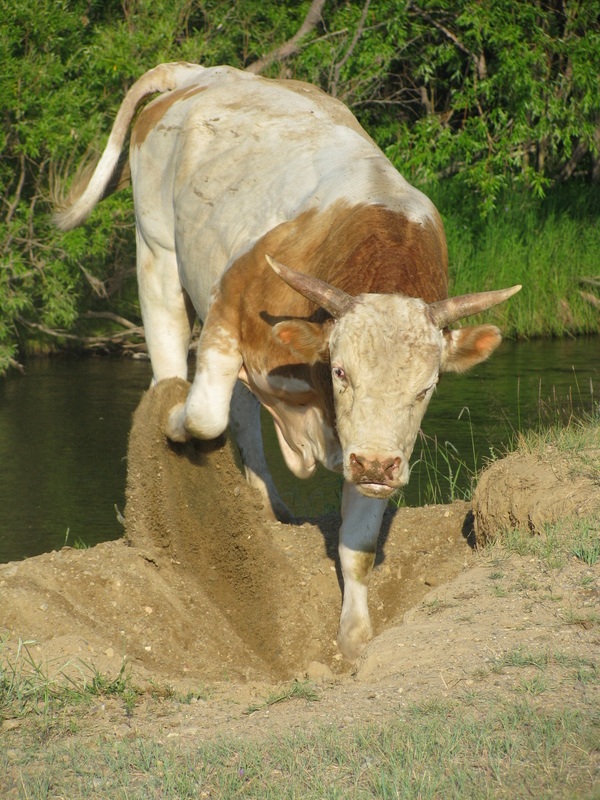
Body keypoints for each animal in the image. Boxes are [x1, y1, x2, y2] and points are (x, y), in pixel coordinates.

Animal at [55, 62, 520, 660]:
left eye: (427, 387)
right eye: (342, 372)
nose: (376, 465)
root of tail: (199, 73)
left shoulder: (372, 443)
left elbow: (358, 544)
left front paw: (353, 635)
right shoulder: (228, 306)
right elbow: (202, 414)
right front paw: (175, 424)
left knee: (244, 412)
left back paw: (267, 503)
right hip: (155, 253)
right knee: (173, 367)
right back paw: (170, 412)